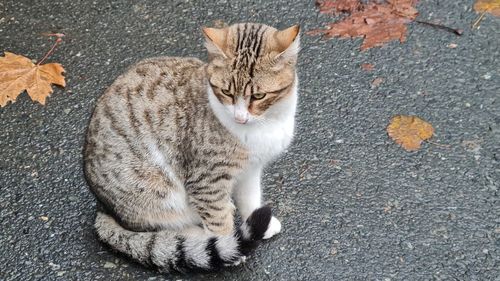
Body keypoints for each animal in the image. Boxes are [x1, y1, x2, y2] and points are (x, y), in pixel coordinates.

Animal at [84, 22, 298, 272]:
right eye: (226, 92)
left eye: (259, 95)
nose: (240, 117)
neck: (267, 123)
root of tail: (103, 208)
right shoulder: (206, 180)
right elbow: (217, 219)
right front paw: (229, 244)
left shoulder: (251, 169)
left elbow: (250, 198)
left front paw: (257, 221)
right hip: (156, 191)